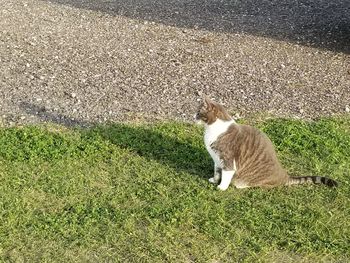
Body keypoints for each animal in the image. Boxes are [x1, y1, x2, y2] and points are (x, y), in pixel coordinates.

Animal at [196, 96, 338, 191]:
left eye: (198, 113)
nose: (193, 117)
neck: (212, 129)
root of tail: (284, 175)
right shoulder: (217, 160)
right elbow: (216, 172)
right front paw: (214, 180)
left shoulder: (228, 160)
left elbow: (226, 175)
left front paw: (221, 187)